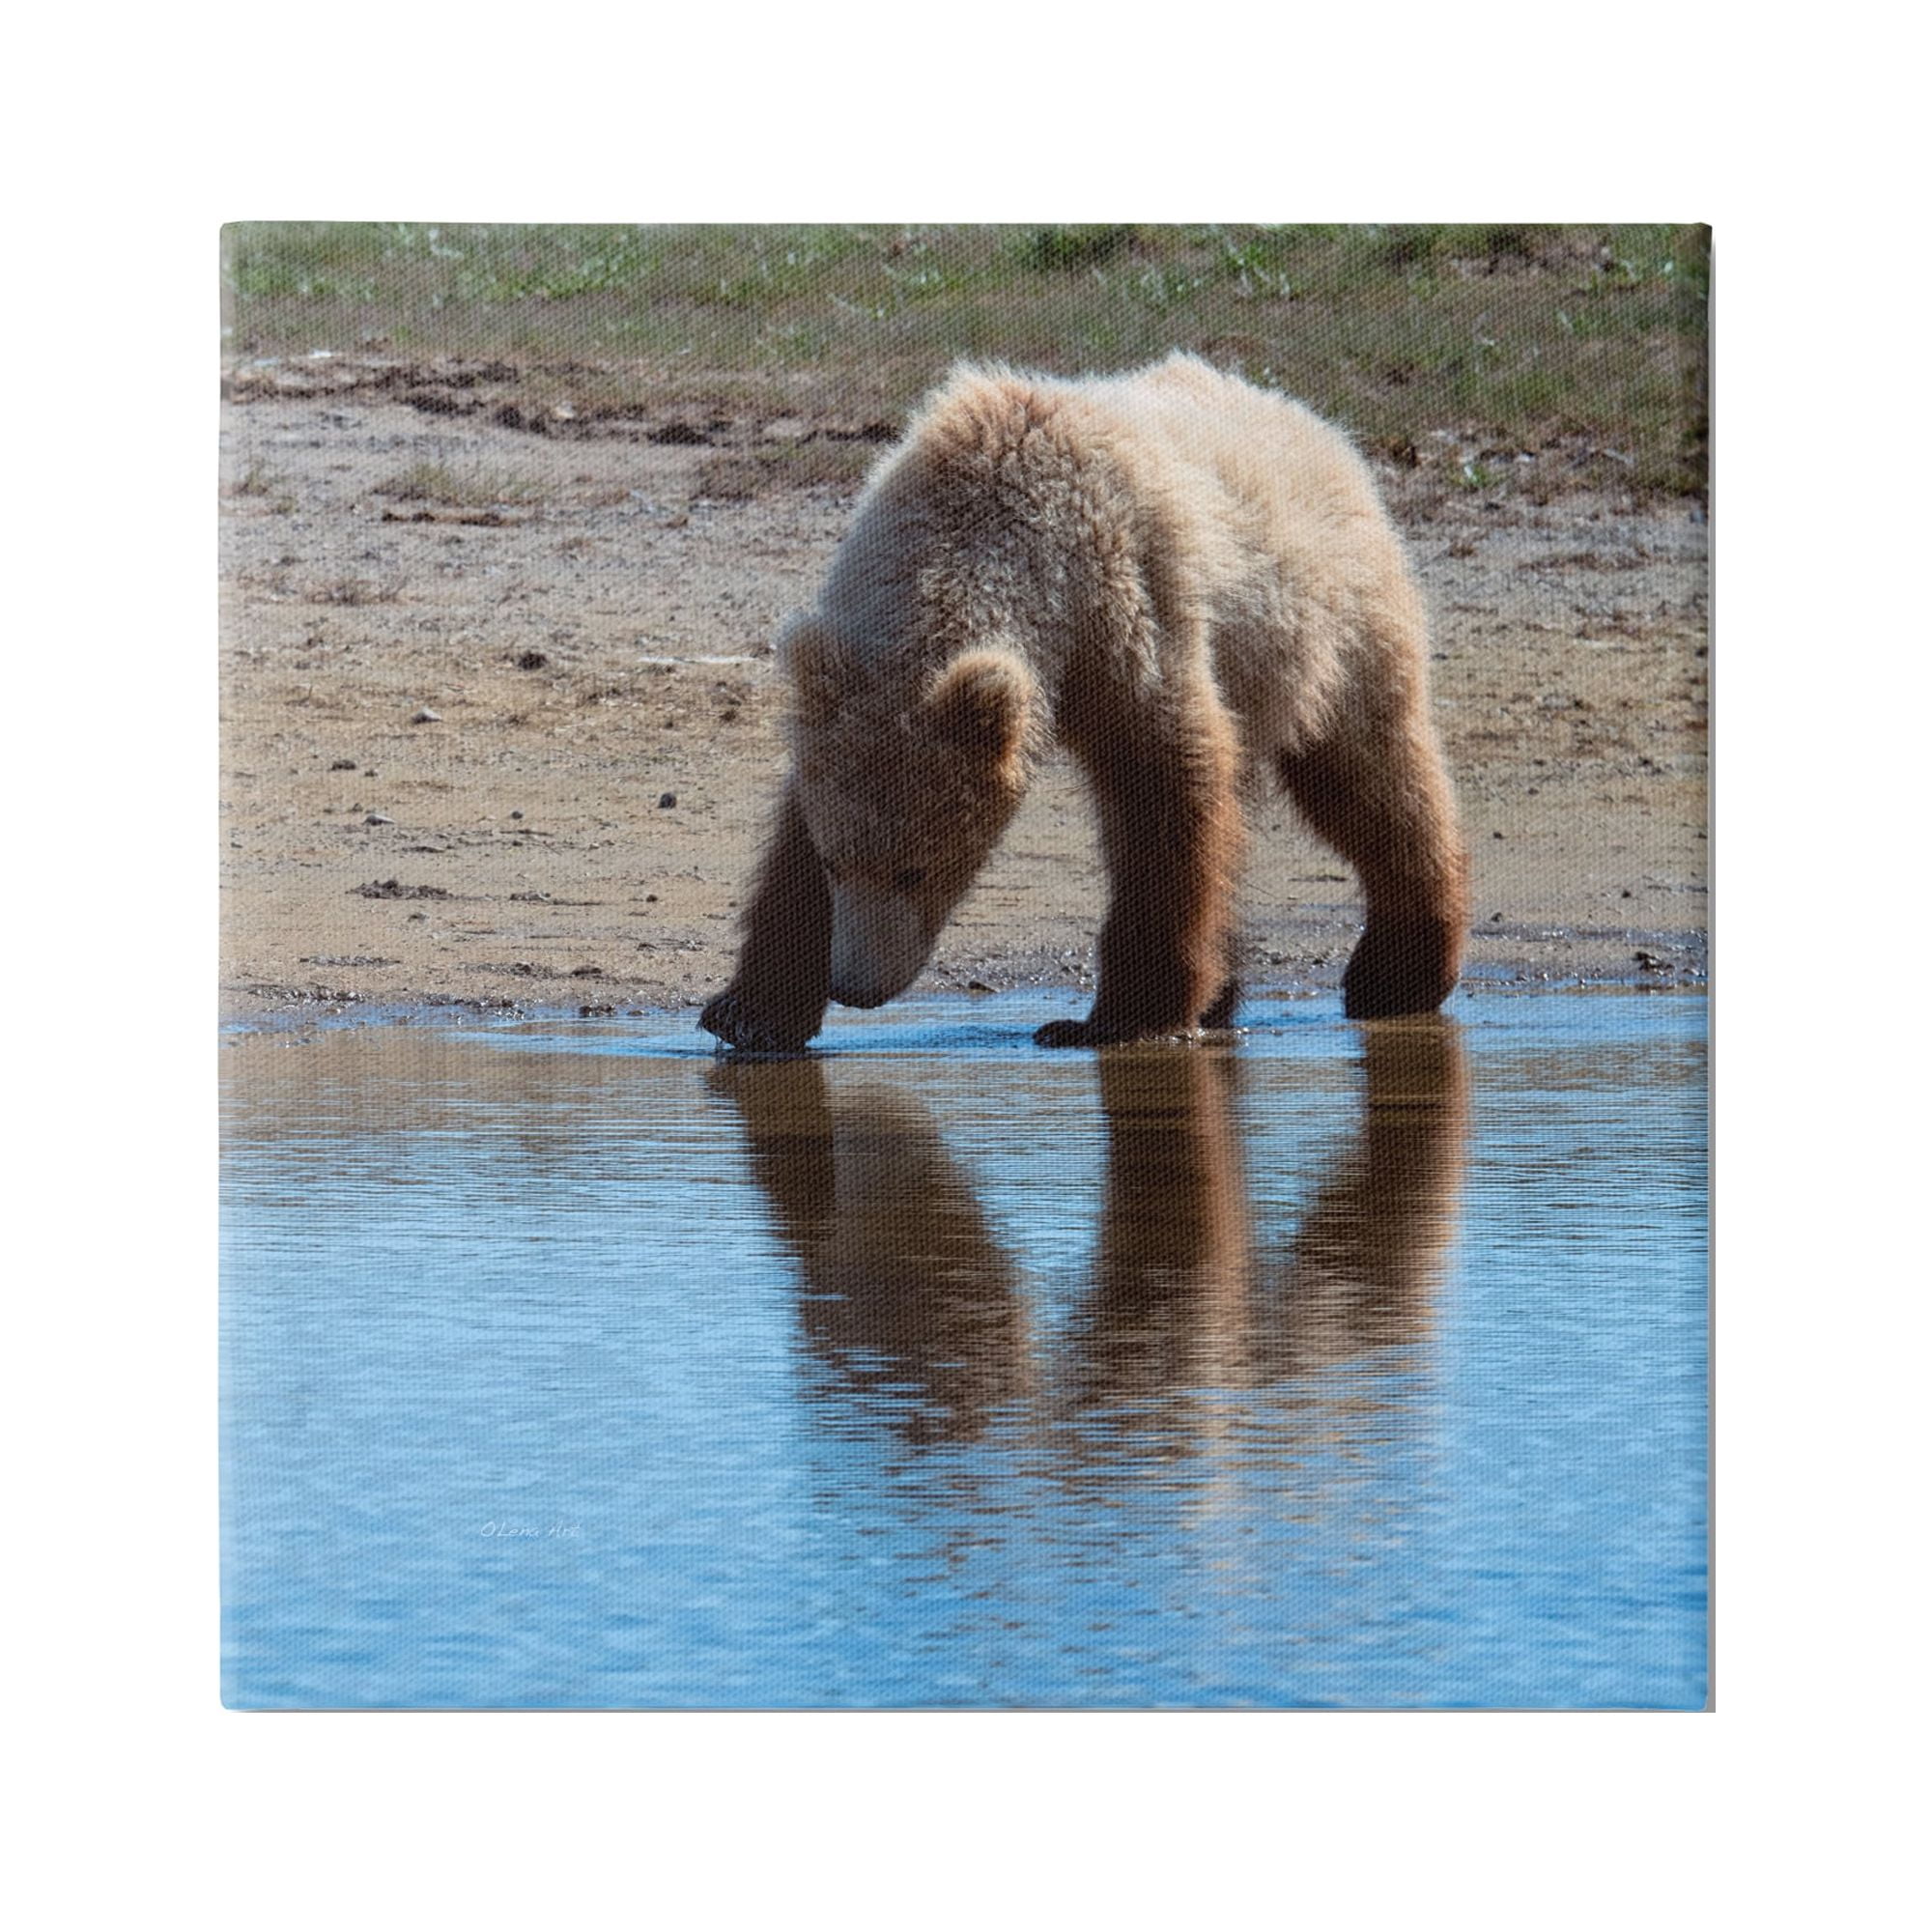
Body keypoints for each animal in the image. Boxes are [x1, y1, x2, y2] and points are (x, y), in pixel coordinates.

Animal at [699, 352, 1468, 1052]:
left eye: (919, 867)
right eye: (838, 862)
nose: (856, 987)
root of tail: (1316, 424)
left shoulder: (1129, 612)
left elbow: (1167, 790)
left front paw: (1117, 1017)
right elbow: (791, 835)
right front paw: (749, 1011)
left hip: (1331, 627)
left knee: (1370, 777)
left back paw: (1397, 973)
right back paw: (1229, 993)